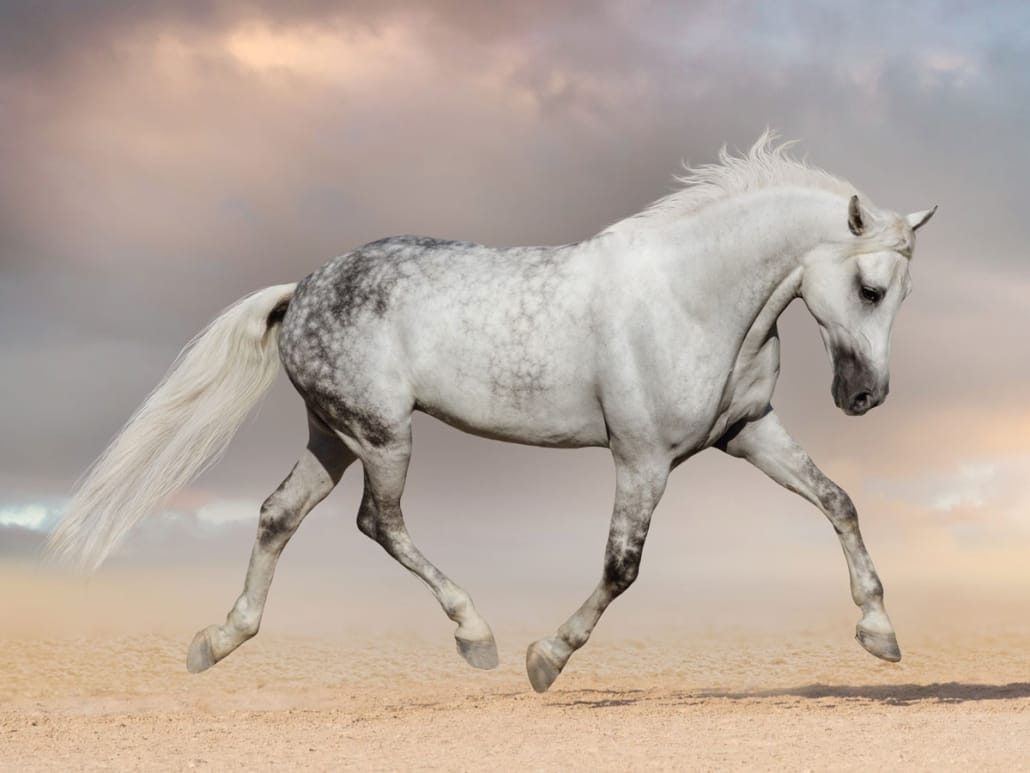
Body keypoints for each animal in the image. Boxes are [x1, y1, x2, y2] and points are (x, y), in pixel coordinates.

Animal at [48, 133, 936, 692]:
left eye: (901, 293)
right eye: (869, 288)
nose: (864, 397)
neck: (693, 296)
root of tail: (299, 289)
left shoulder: (748, 432)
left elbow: (838, 501)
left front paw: (880, 633)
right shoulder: (642, 456)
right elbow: (622, 567)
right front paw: (547, 658)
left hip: (332, 435)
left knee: (276, 514)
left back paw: (217, 641)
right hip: (383, 435)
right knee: (378, 523)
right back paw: (476, 635)